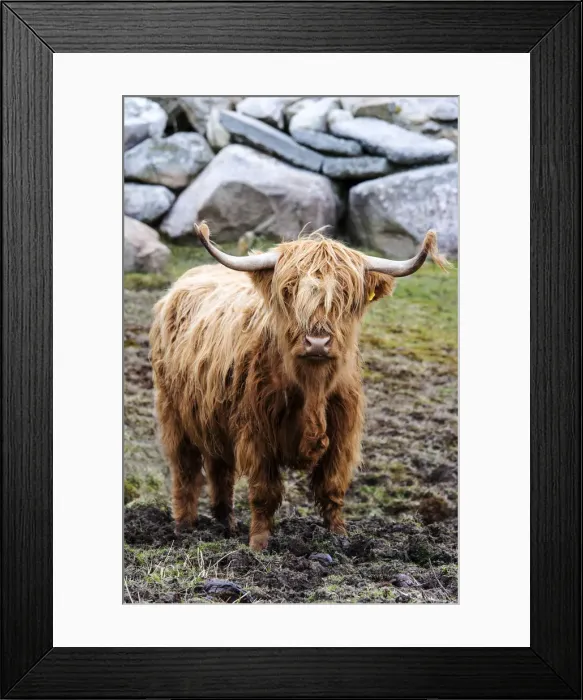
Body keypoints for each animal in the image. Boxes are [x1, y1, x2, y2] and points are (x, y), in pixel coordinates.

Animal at [149, 221, 447, 551]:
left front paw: (339, 538)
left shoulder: (343, 434)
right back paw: (184, 527)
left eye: (346, 295)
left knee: (219, 468)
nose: (317, 341)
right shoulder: (256, 433)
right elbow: (263, 493)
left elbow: (332, 487)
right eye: (289, 291)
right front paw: (258, 545)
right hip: (173, 413)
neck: (312, 388)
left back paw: (226, 523)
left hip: (213, 414)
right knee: (186, 470)